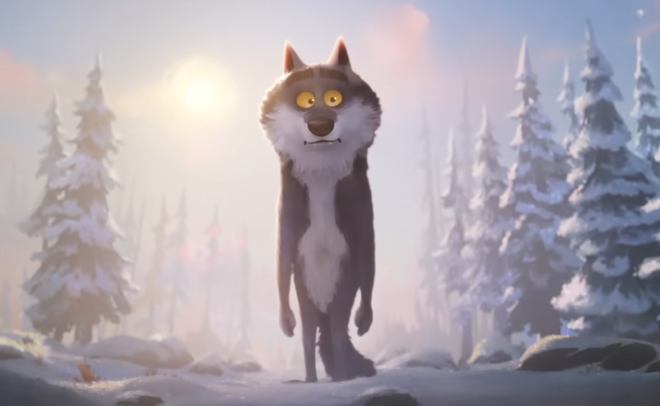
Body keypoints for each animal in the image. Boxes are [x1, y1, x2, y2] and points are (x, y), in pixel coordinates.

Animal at [259, 37, 381, 382]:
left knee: (337, 332)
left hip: (341, 287)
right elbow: (281, 262)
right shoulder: (288, 216)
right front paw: (285, 321)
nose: (320, 125)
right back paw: (311, 380)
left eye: (333, 98)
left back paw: (341, 378)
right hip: (307, 291)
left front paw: (365, 319)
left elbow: (368, 259)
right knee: (308, 333)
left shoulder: (362, 214)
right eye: (305, 100)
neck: (323, 175)